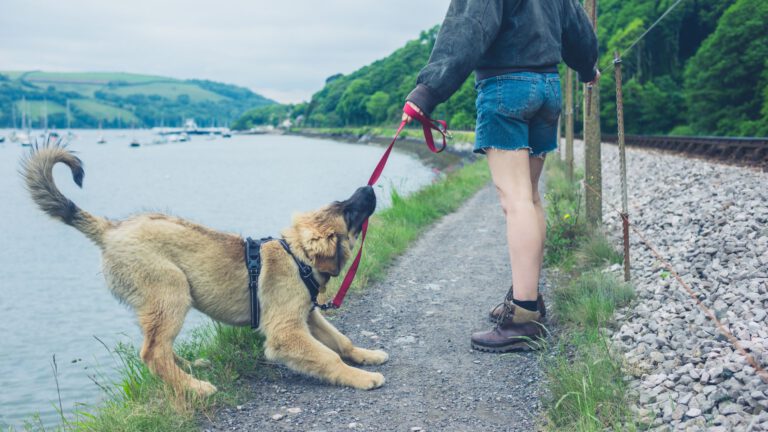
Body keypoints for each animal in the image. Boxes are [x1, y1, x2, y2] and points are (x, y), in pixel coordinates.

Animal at [21, 143, 388, 396]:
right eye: (348, 211)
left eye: (342, 204)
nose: (368, 188)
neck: (297, 258)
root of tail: (110, 229)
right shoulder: (285, 331)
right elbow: (328, 357)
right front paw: (362, 378)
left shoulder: (308, 316)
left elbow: (341, 342)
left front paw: (366, 356)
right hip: (171, 291)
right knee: (152, 353)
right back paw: (194, 388)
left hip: (160, 303)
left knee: (160, 348)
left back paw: (190, 369)